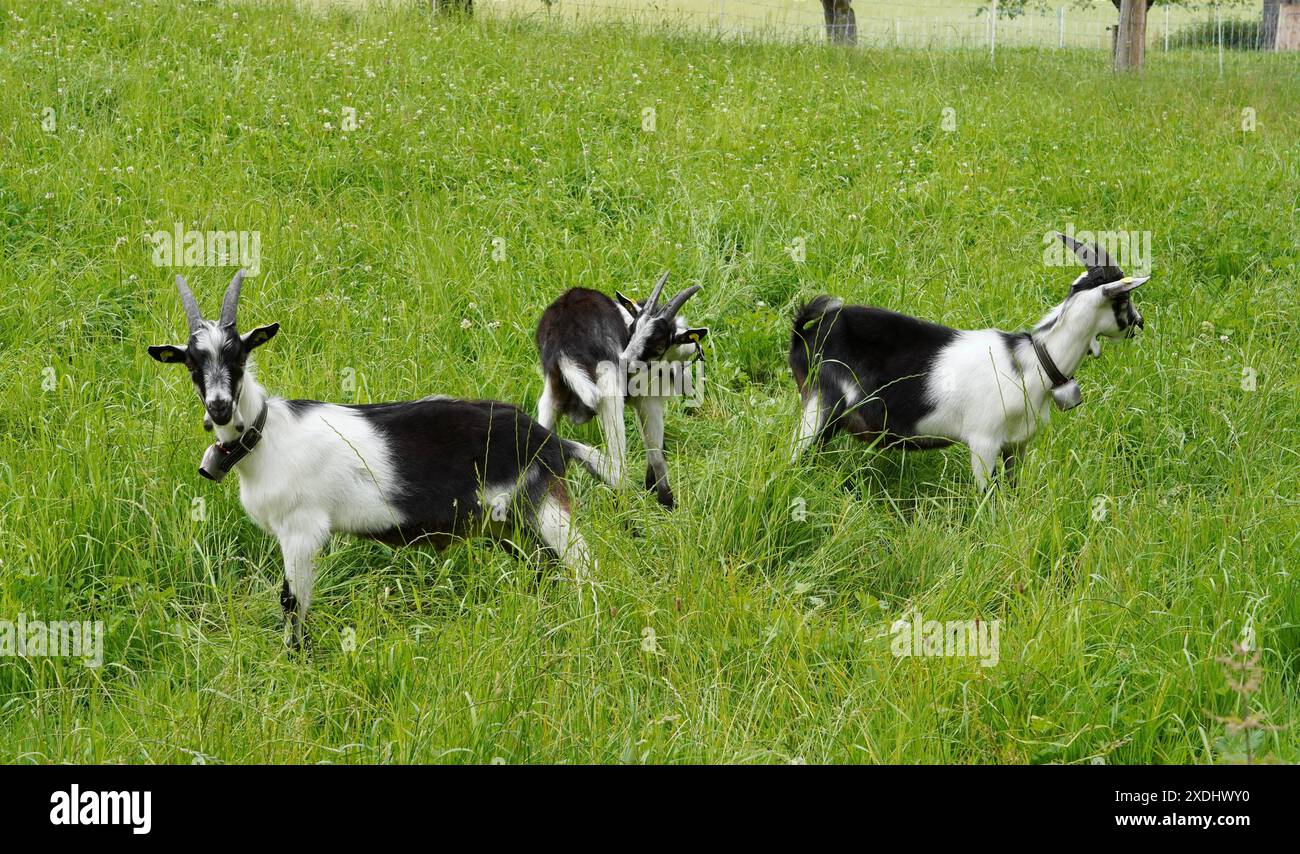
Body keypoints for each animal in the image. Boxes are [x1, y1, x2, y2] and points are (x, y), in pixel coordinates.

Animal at [148, 270, 597, 647]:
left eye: (239, 355)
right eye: (191, 364)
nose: (220, 407)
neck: (265, 437)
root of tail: (549, 440)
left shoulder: (302, 529)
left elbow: (292, 602)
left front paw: (297, 661)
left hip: (543, 505)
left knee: (581, 561)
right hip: (506, 523)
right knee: (545, 567)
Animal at [535, 272, 707, 508]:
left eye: (659, 346)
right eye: (631, 330)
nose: (625, 366)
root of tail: (564, 345)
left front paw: (650, 487)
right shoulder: (648, 400)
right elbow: (656, 452)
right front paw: (667, 503)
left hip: (551, 394)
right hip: (609, 395)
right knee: (617, 464)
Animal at [790, 233, 1148, 490]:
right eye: (1124, 298)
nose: (1139, 323)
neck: (1033, 361)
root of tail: (803, 336)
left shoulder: (1016, 445)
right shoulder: (983, 442)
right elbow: (987, 496)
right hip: (820, 405)